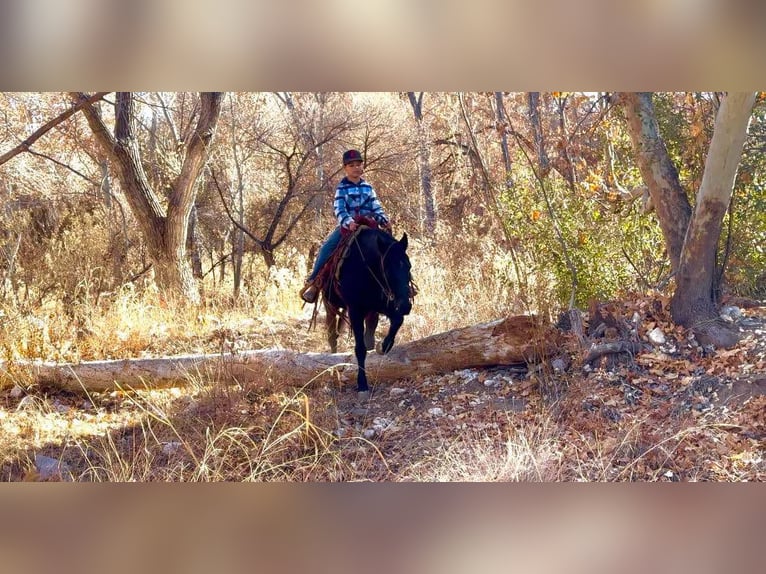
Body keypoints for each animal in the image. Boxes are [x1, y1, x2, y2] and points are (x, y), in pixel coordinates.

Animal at [321, 226, 413, 398]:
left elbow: (397, 320)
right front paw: (362, 384)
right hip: (330, 306)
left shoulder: (381, 304)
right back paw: (334, 367)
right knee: (332, 337)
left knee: (368, 335)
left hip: (370, 312)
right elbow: (360, 348)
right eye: (387, 269)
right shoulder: (355, 310)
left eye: (409, 266)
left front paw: (383, 346)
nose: (405, 305)